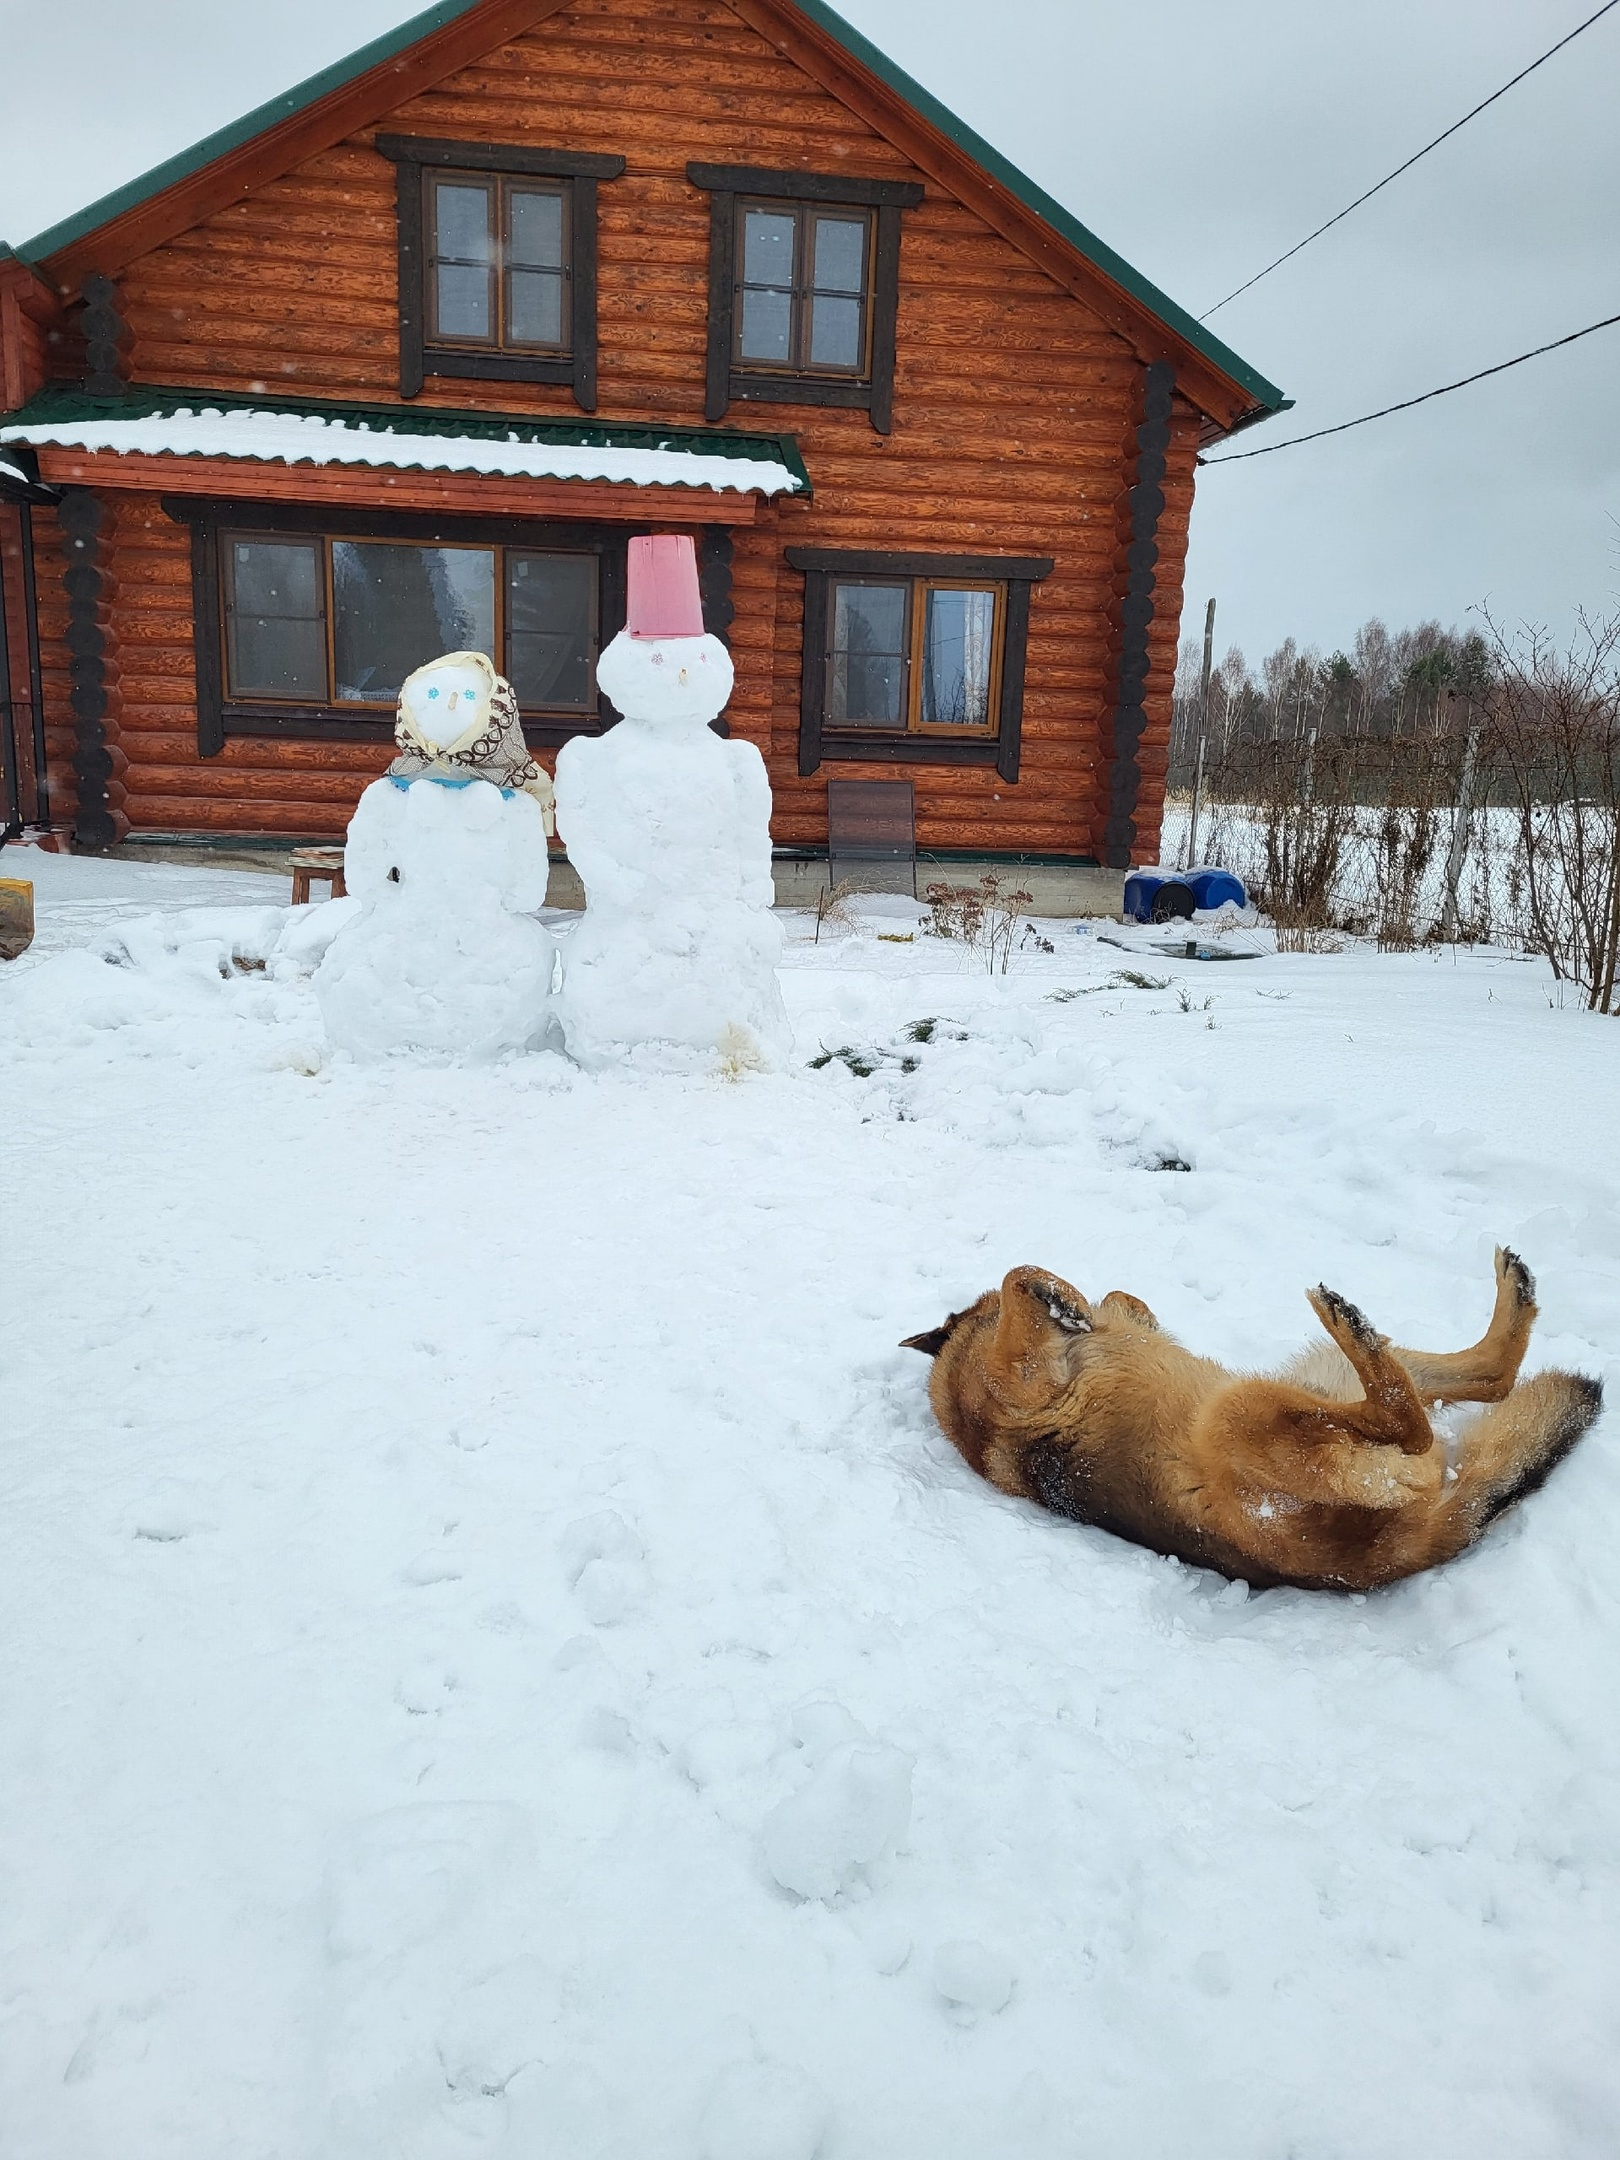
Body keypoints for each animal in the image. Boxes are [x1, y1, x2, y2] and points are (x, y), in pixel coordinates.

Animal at [907, 1252, 1607, 1589]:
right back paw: (1349, 1320)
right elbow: (1018, 1276)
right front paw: (1061, 1299)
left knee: (1489, 1376)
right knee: (1412, 1420)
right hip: (1240, 1414)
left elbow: (1103, 1298)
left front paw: (1083, 1301)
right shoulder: (1019, 1383)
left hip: (1308, 1382)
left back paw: (1507, 1293)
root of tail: (1402, 1552)